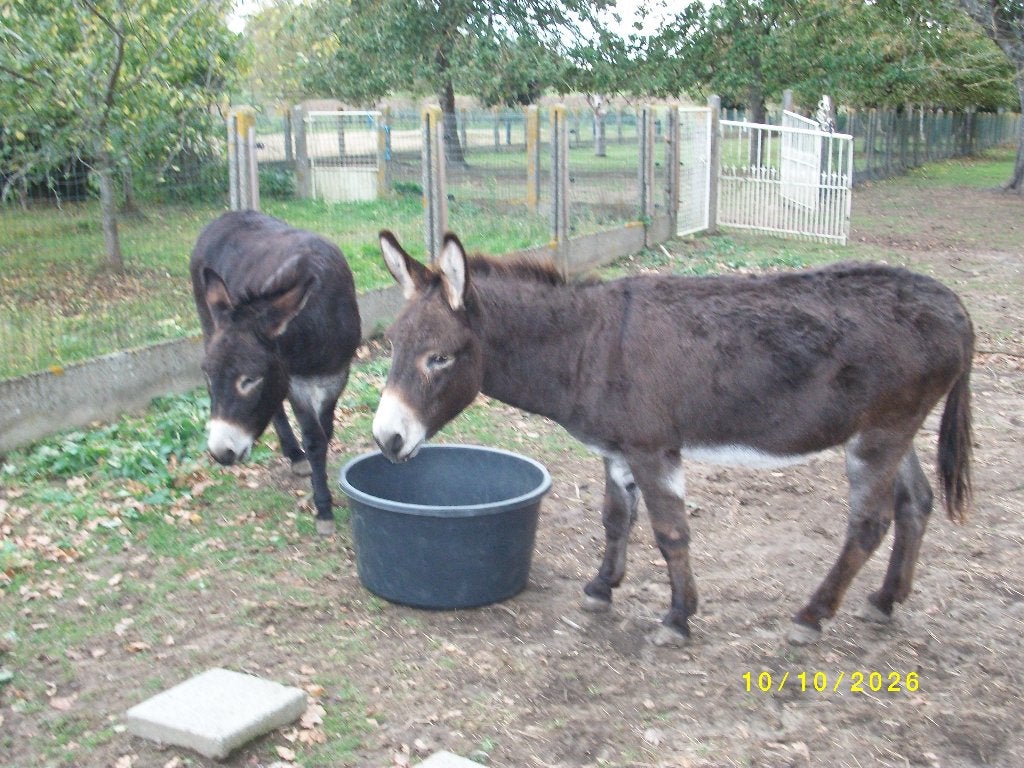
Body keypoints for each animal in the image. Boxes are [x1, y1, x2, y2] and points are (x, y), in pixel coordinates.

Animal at [190, 211, 361, 535]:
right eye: (206, 374)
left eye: (250, 379)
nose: (220, 453)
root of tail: (225, 217)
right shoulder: (293, 381)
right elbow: (313, 438)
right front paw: (323, 508)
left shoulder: (336, 377)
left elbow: (324, 434)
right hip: (208, 321)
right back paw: (294, 455)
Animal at [371, 231, 974, 646]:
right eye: (393, 344)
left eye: (439, 358)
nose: (385, 441)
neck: (587, 344)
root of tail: (953, 304)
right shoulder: (617, 451)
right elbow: (616, 519)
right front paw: (600, 589)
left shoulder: (653, 449)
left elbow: (671, 533)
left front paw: (679, 618)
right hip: (895, 428)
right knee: (916, 503)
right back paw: (886, 600)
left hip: (879, 434)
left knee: (869, 523)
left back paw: (812, 616)